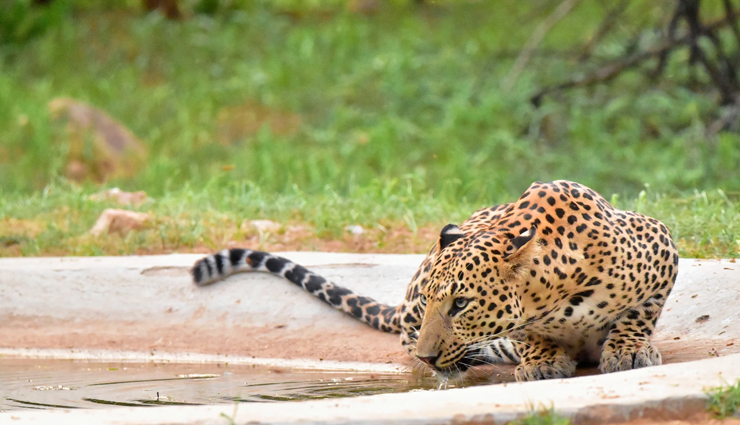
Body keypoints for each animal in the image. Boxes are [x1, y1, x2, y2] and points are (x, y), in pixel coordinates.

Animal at [191, 180, 679, 382]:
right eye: (433, 303)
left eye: (461, 304)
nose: (428, 357)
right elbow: (530, 336)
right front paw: (542, 359)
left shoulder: (660, 241)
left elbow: (639, 311)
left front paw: (629, 350)